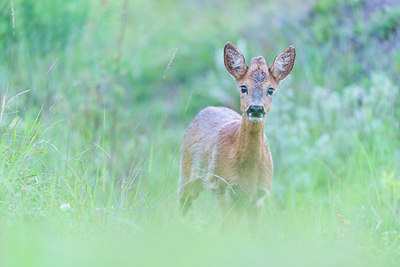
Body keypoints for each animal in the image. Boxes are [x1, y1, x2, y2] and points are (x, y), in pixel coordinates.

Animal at [180, 42, 296, 225]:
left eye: (270, 89)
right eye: (243, 87)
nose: (256, 109)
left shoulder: (259, 196)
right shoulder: (223, 187)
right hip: (187, 173)